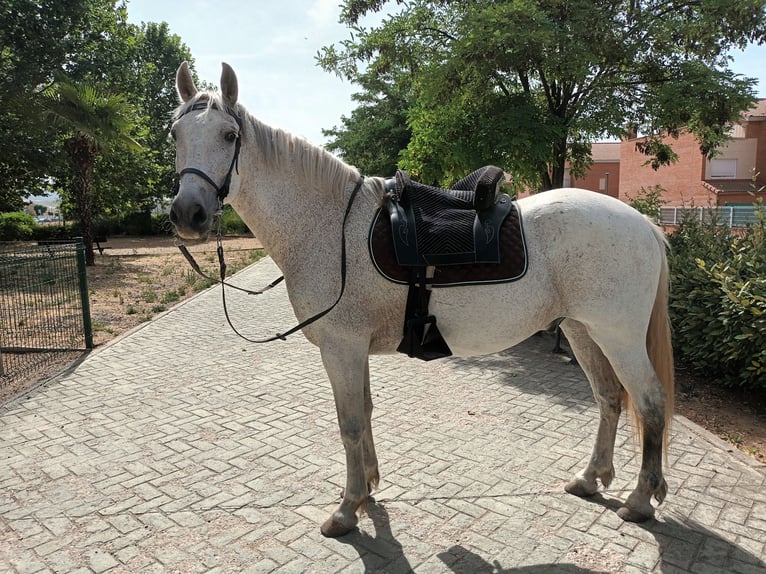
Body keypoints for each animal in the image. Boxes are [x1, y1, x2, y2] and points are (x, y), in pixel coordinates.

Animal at [171, 63, 676, 540]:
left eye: (229, 135)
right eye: (176, 134)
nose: (187, 214)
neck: (331, 226)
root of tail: (643, 223)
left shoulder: (341, 347)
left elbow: (349, 423)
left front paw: (346, 510)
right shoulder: (354, 350)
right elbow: (365, 414)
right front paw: (368, 489)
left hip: (618, 335)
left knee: (649, 403)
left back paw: (640, 500)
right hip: (580, 329)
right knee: (609, 397)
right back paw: (591, 479)